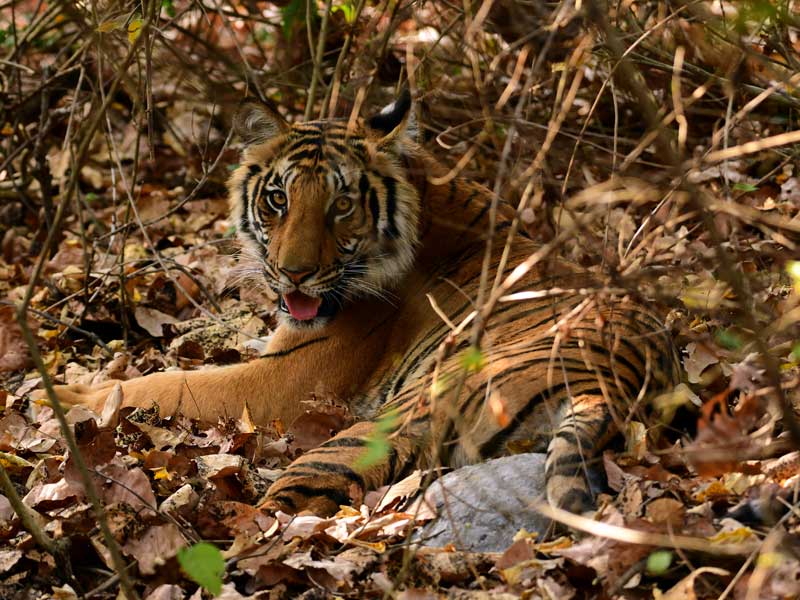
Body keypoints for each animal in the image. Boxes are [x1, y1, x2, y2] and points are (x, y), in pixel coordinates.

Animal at [47, 91, 680, 516]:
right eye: (278, 199)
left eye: (342, 205)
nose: (294, 273)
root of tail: (610, 386)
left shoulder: (284, 376)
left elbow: (168, 383)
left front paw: (64, 397)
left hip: (380, 424)